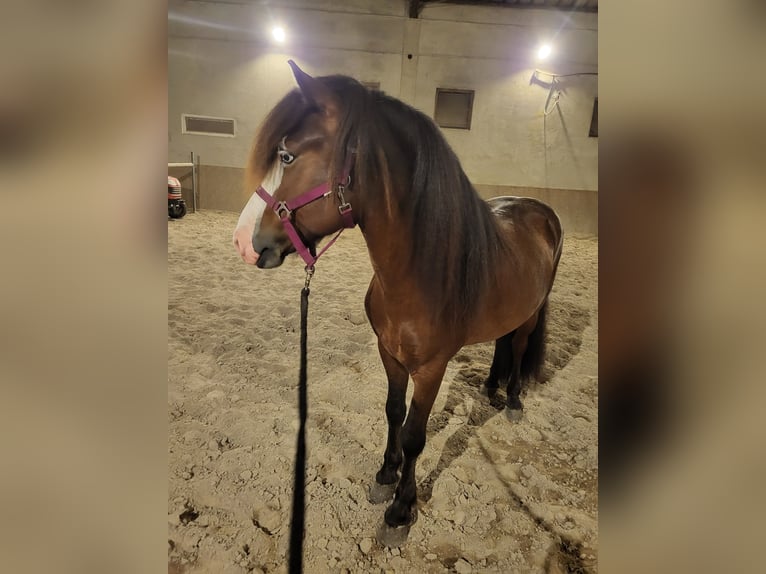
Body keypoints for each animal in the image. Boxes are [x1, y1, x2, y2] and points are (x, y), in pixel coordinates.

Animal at [237, 62, 568, 540]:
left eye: (287, 156)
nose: (244, 242)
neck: (416, 273)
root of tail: (540, 210)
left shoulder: (431, 369)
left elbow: (415, 433)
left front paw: (400, 508)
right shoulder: (388, 352)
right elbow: (394, 412)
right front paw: (385, 475)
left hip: (529, 316)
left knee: (520, 347)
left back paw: (512, 401)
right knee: (502, 345)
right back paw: (489, 388)